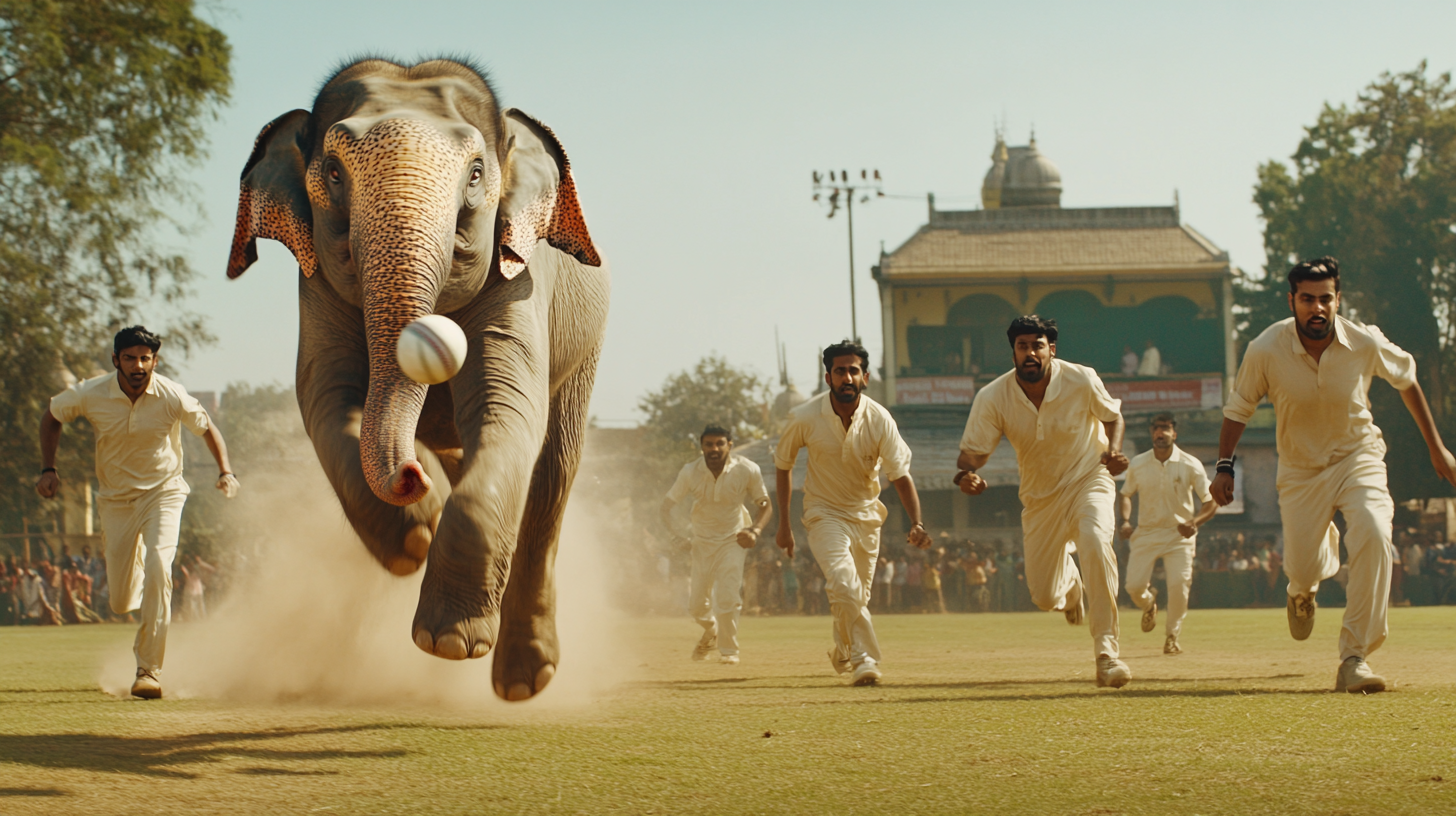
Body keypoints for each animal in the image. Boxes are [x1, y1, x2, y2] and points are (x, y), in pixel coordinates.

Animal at [225, 57, 608, 702]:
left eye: (476, 173)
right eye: (332, 172)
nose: (408, 475)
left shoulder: (519, 278)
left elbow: (508, 408)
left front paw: (449, 642)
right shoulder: (317, 285)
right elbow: (325, 396)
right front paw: (412, 541)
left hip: (585, 352)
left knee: (552, 473)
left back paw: (523, 680)